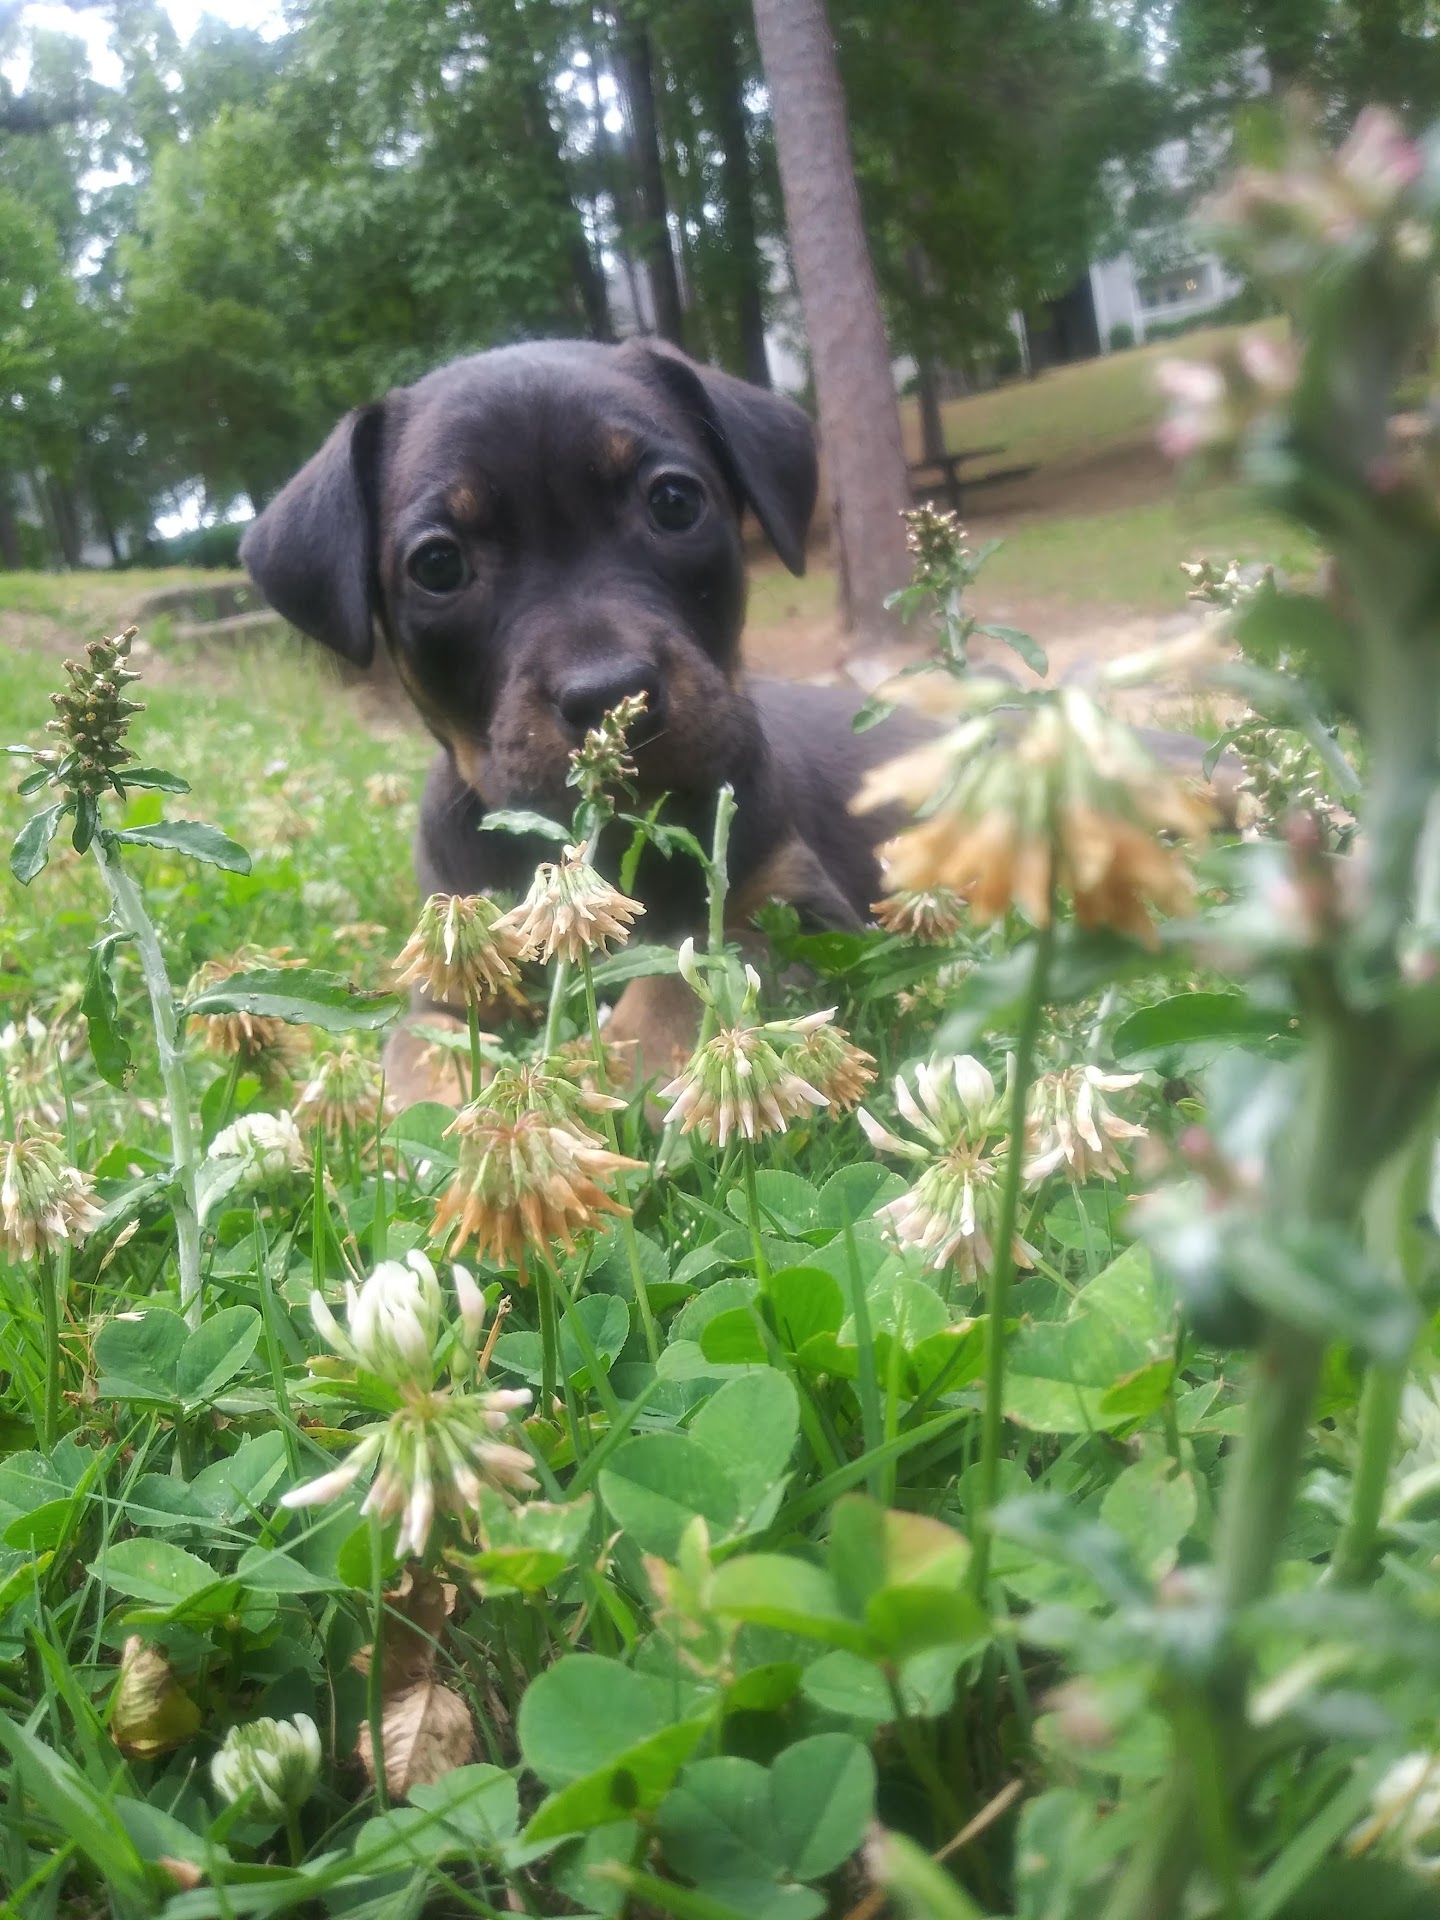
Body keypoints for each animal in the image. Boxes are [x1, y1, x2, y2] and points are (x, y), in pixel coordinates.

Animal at [241, 338, 929, 1096]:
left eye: (674, 501)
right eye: (439, 564)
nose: (609, 695)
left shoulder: (791, 911)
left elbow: (682, 982)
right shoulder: (441, 980)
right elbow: (421, 1055)